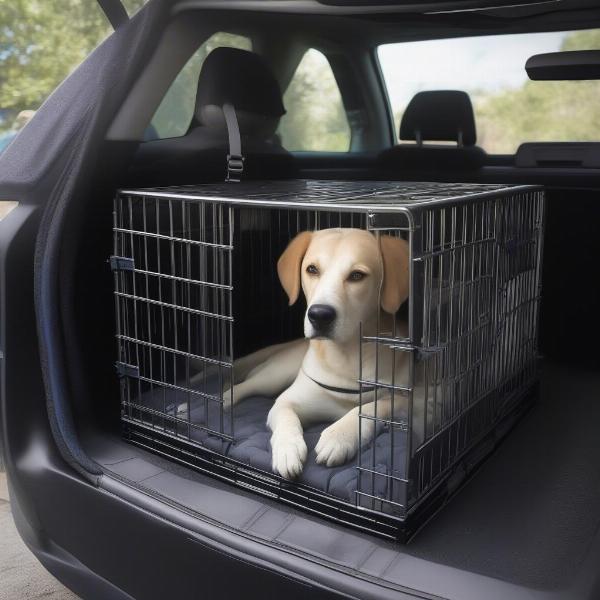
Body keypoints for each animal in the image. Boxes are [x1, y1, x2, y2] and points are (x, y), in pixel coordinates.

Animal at [225, 227, 412, 480]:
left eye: (357, 275)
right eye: (312, 269)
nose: (319, 315)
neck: (346, 358)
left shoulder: (416, 400)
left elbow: (371, 407)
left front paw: (338, 436)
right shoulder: (287, 401)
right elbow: (285, 417)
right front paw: (287, 449)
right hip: (275, 376)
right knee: (246, 385)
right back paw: (222, 399)